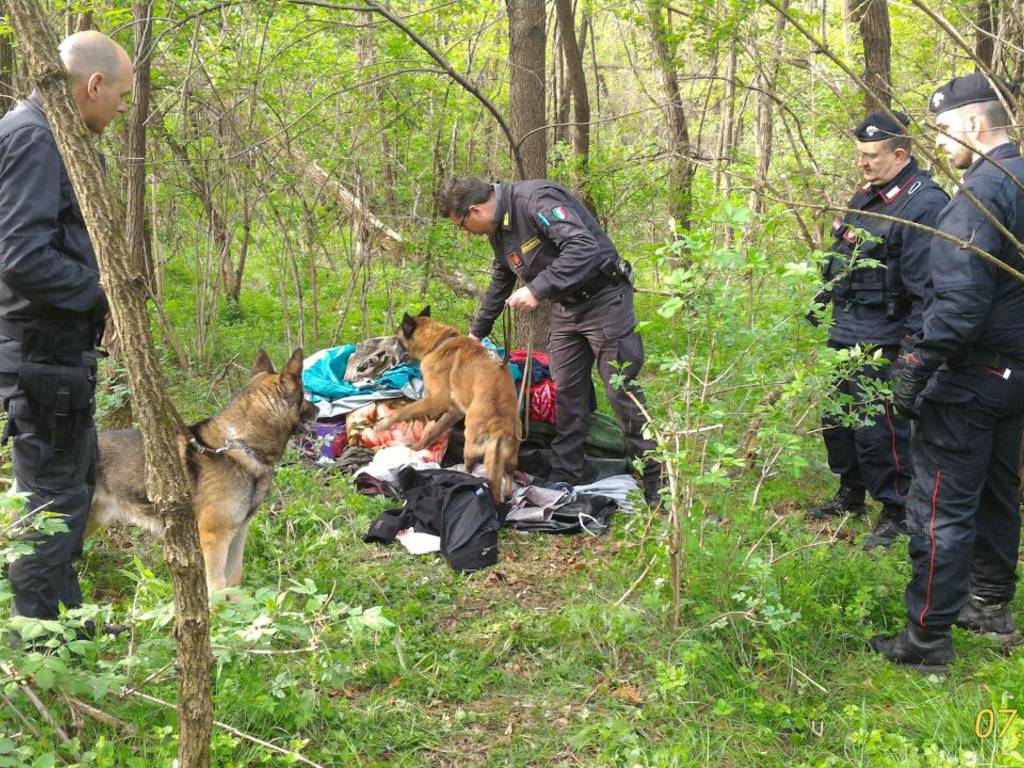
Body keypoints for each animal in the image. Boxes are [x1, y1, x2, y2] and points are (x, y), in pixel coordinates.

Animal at [88, 348, 315, 593]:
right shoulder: (213, 539)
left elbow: (234, 580)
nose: (319, 409)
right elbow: (217, 586)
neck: (239, 446)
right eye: (305, 395)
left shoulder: (238, 534)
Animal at [376, 307, 520, 505]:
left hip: (471, 443)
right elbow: (433, 432)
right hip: (509, 457)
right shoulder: (454, 411)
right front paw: (416, 448)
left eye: (396, 340)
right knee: (508, 481)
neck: (437, 343)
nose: (383, 353)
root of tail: (499, 426)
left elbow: (404, 411)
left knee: (471, 471)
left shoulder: (436, 399)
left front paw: (383, 425)